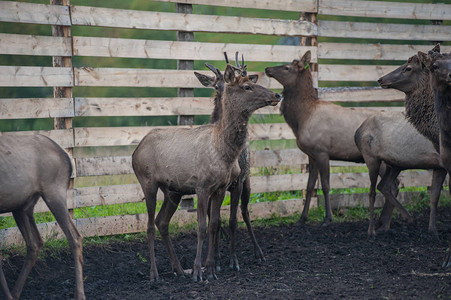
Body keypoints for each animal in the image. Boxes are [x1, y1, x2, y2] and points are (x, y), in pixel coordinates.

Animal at [0, 135, 85, 300]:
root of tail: (67, 158)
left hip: (54, 192)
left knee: (75, 237)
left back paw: (79, 294)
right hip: (22, 206)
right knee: (35, 243)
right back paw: (15, 292)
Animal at [131, 62, 280, 282]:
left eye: (251, 81)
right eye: (247, 86)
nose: (277, 95)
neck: (224, 152)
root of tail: (135, 152)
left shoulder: (221, 187)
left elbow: (214, 224)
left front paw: (210, 269)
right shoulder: (201, 186)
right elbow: (201, 227)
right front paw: (197, 272)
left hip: (173, 191)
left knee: (162, 221)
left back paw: (178, 269)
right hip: (148, 182)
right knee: (149, 226)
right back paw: (155, 274)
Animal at [264, 51, 404, 225]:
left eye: (287, 67)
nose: (267, 69)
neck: (301, 119)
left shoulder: (322, 151)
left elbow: (325, 186)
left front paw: (328, 218)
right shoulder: (312, 154)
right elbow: (309, 186)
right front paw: (302, 218)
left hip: (381, 158)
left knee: (394, 185)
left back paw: (383, 220)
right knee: (394, 184)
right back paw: (384, 220)